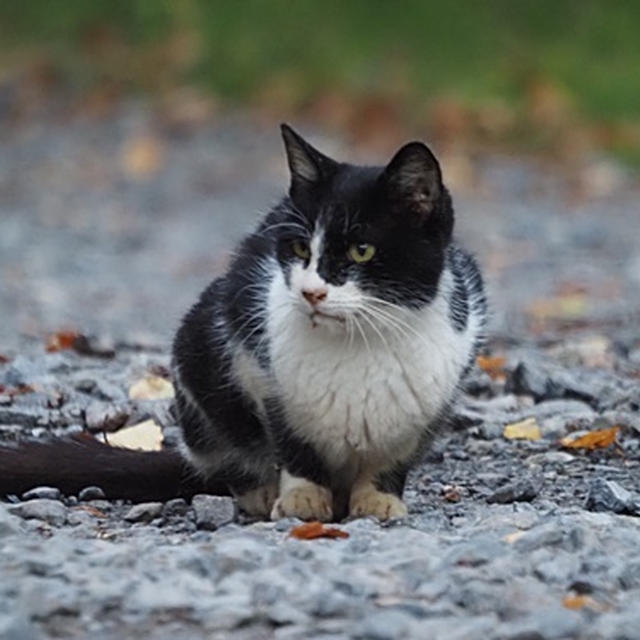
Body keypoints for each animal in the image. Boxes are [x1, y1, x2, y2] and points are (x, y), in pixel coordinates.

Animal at [170, 124, 484, 520]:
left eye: (361, 250)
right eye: (301, 248)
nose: (311, 292)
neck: (359, 342)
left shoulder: (434, 399)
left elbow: (395, 454)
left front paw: (379, 498)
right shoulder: (257, 371)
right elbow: (293, 442)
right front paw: (301, 497)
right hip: (196, 354)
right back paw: (260, 493)